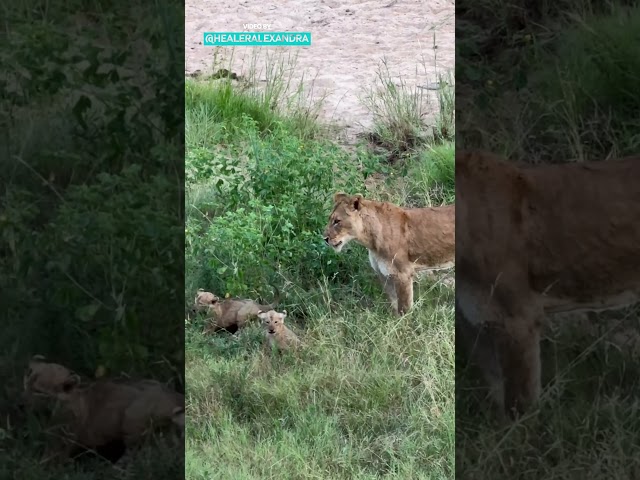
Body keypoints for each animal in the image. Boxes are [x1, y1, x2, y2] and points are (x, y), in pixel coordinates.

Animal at [323, 192, 455, 315]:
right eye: (330, 219)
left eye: (337, 221)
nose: (324, 238)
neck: (371, 242)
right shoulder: (383, 273)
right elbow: (394, 303)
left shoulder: (403, 274)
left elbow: (404, 308)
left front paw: (405, 322)